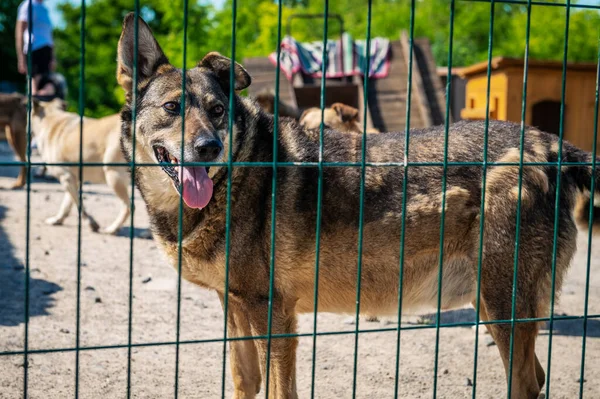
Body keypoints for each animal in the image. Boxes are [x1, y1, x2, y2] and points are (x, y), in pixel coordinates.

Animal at [116, 14, 596, 398]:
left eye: (216, 110)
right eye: (172, 107)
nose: (209, 147)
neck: (234, 177)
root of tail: (551, 144)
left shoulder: (272, 316)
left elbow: (278, 391)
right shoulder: (233, 306)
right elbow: (244, 382)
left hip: (503, 308)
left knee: (527, 383)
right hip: (494, 305)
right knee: (537, 377)